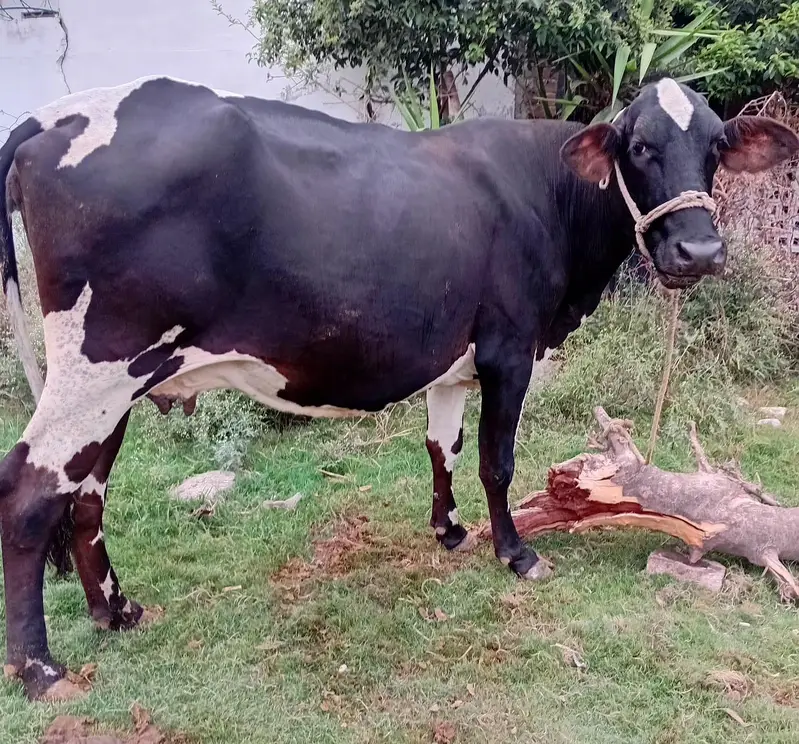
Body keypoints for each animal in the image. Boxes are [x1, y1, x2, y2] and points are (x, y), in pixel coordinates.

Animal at [1, 75, 796, 700]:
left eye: (716, 148)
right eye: (639, 148)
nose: (699, 250)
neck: (549, 195)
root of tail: (54, 116)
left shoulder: (454, 360)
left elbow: (443, 446)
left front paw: (449, 531)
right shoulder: (510, 348)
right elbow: (496, 461)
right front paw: (515, 554)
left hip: (117, 382)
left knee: (86, 493)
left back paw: (116, 611)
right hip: (96, 372)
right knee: (31, 494)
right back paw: (39, 668)